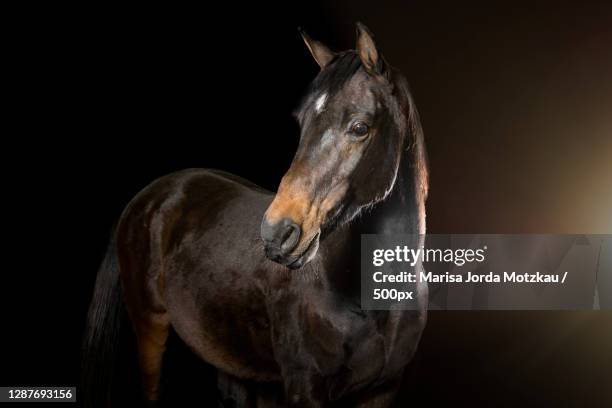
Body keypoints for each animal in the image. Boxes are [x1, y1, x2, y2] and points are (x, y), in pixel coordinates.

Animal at [83, 23, 430, 406]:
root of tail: (149, 195)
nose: (277, 233)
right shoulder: (304, 387)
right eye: (302, 122)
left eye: (359, 127)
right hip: (149, 329)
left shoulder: (382, 390)